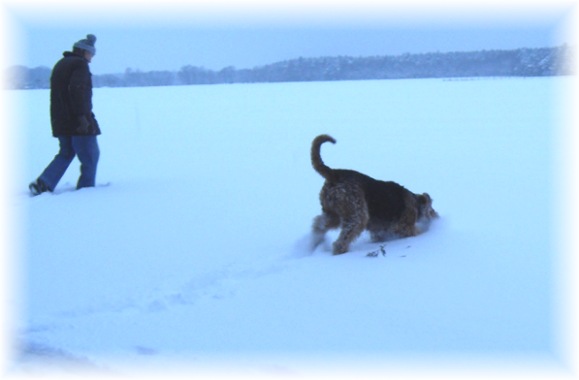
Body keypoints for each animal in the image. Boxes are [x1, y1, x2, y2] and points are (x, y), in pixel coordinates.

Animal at [310, 134, 438, 255]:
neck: (416, 203)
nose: (438, 218)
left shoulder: (380, 231)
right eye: (431, 209)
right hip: (357, 215)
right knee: (340, 241)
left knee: (318, 225)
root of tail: (334, 174)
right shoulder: (404, 226)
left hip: (333, 214)